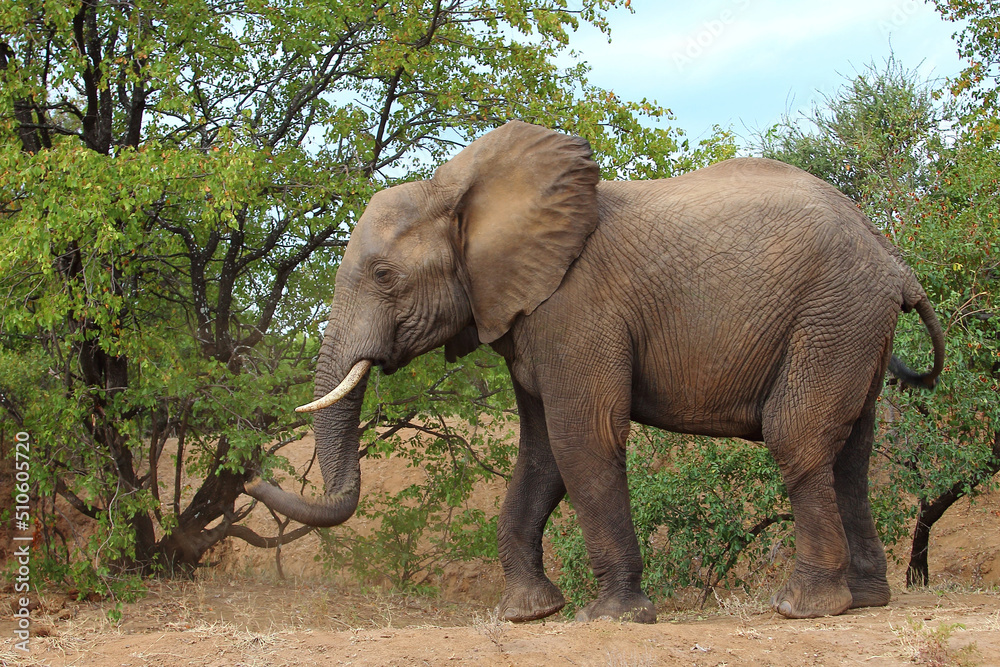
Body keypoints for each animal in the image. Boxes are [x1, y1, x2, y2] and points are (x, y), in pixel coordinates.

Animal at [246, 120, 945, 623]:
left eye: (385, 275)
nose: (252, 480)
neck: (463, 190)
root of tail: (893, 258)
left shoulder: (576, 308)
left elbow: (583, 437)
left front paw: (610, 618)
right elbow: (540, 454)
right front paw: (528, 614)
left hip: (832, 315)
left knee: (796, 436)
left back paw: (803, 608)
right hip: (852, 327)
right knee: (852, 453)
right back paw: (867, 602)